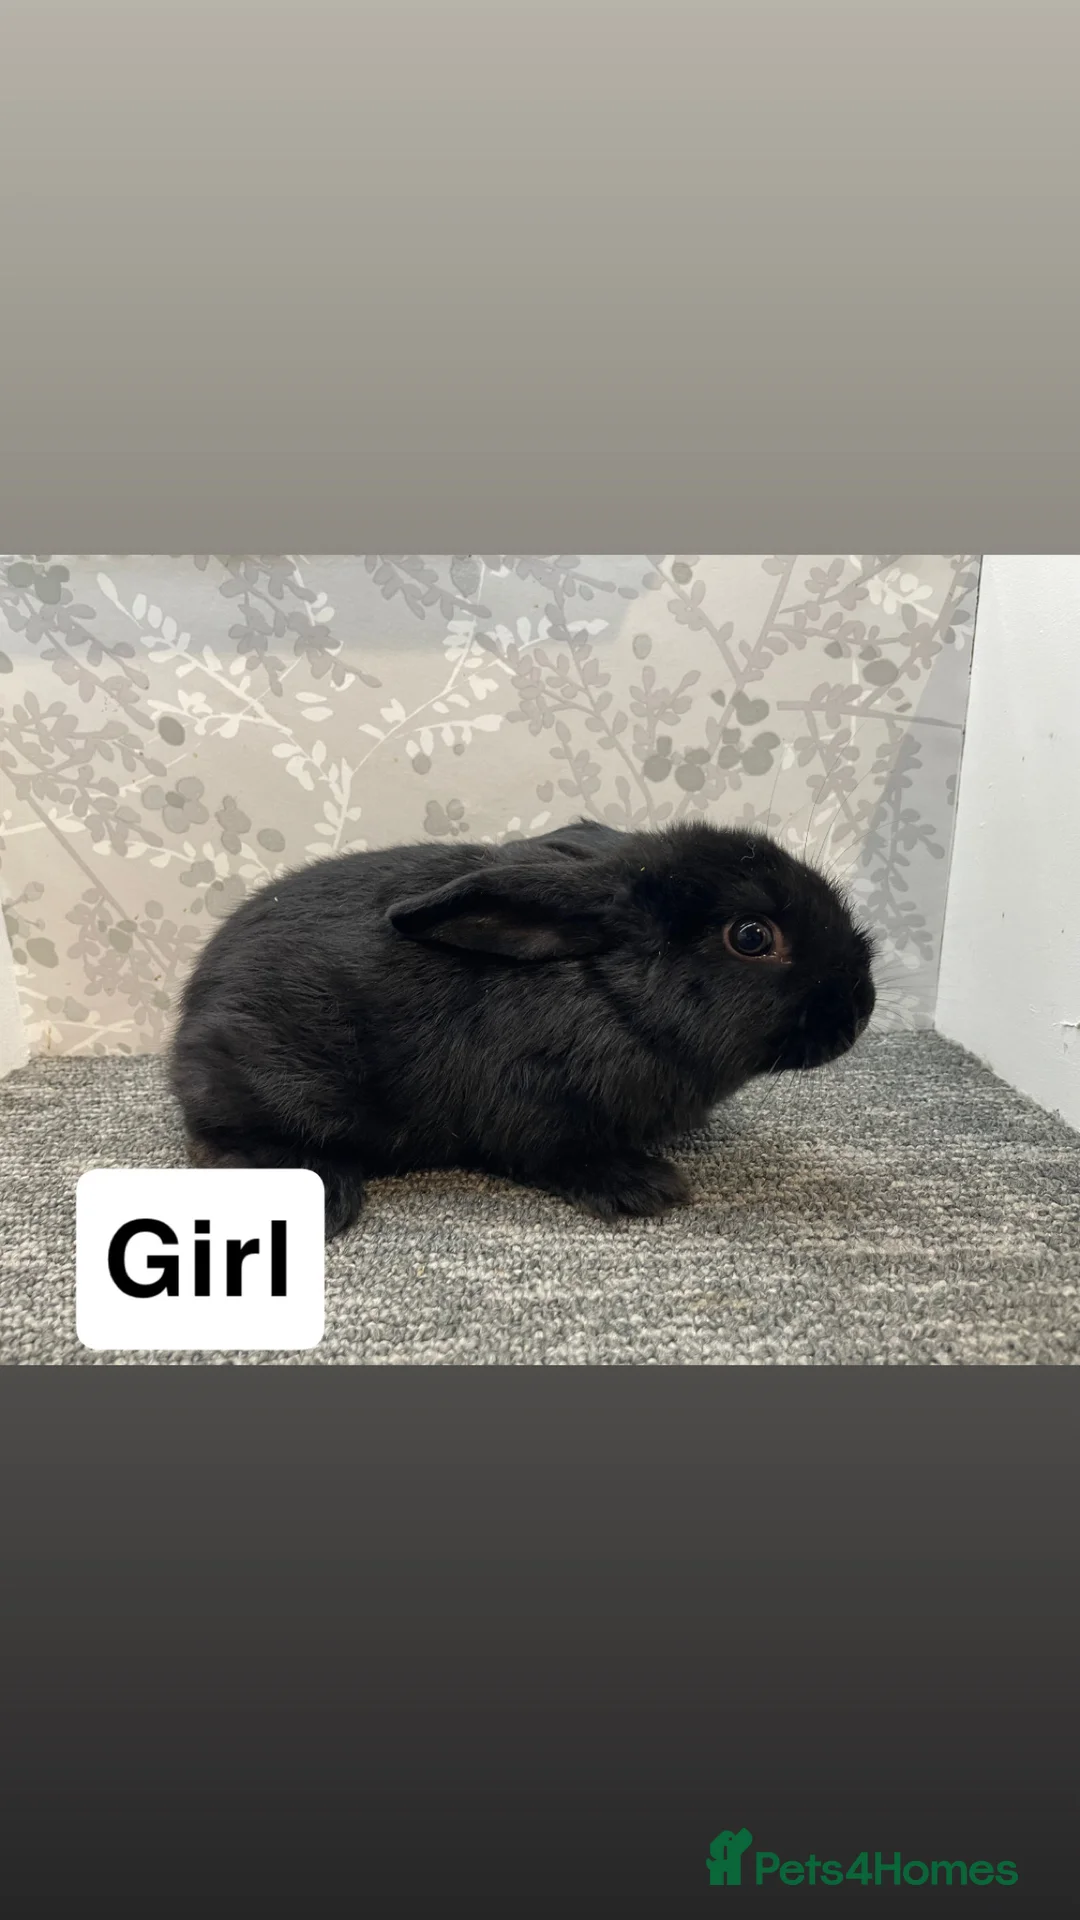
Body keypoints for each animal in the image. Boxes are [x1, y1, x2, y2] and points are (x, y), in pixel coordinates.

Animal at [168, 818, 876, 1236]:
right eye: (751, 937)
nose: (861, 1007)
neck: (613, 998)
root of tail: (191, 1022)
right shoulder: (538, 1112)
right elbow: (562, 1158)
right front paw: (645, 1188)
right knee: (221, 1142)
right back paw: (329, 1194)